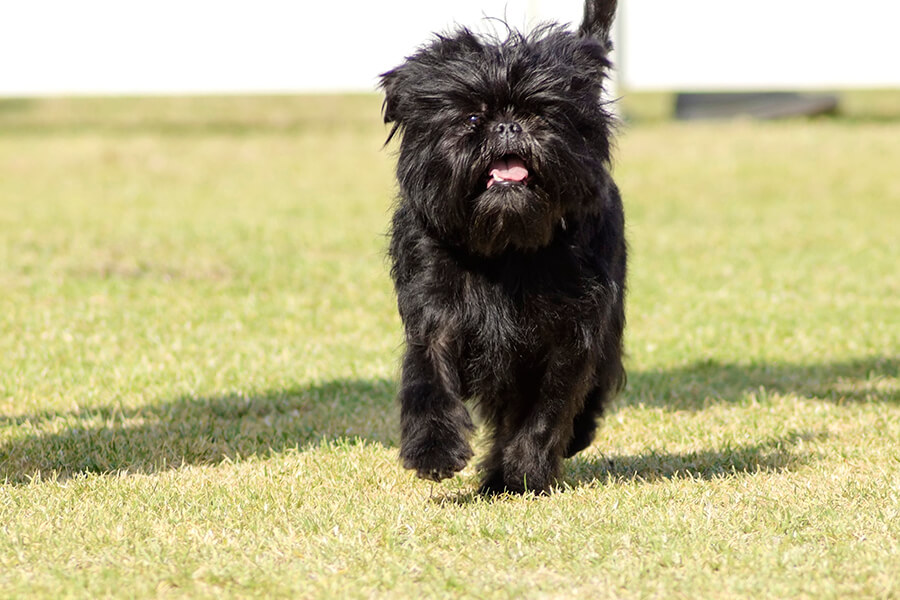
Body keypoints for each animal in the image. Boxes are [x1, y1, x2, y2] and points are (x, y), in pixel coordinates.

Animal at [380, 0, 624, 494]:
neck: (506, 248)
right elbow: (427, 381)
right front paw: (433, 450)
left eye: (541, 114)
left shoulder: (572, 332)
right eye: (472, 118)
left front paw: (526, 470)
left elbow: (548, 409)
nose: (508, 126)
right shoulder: (433, 315)